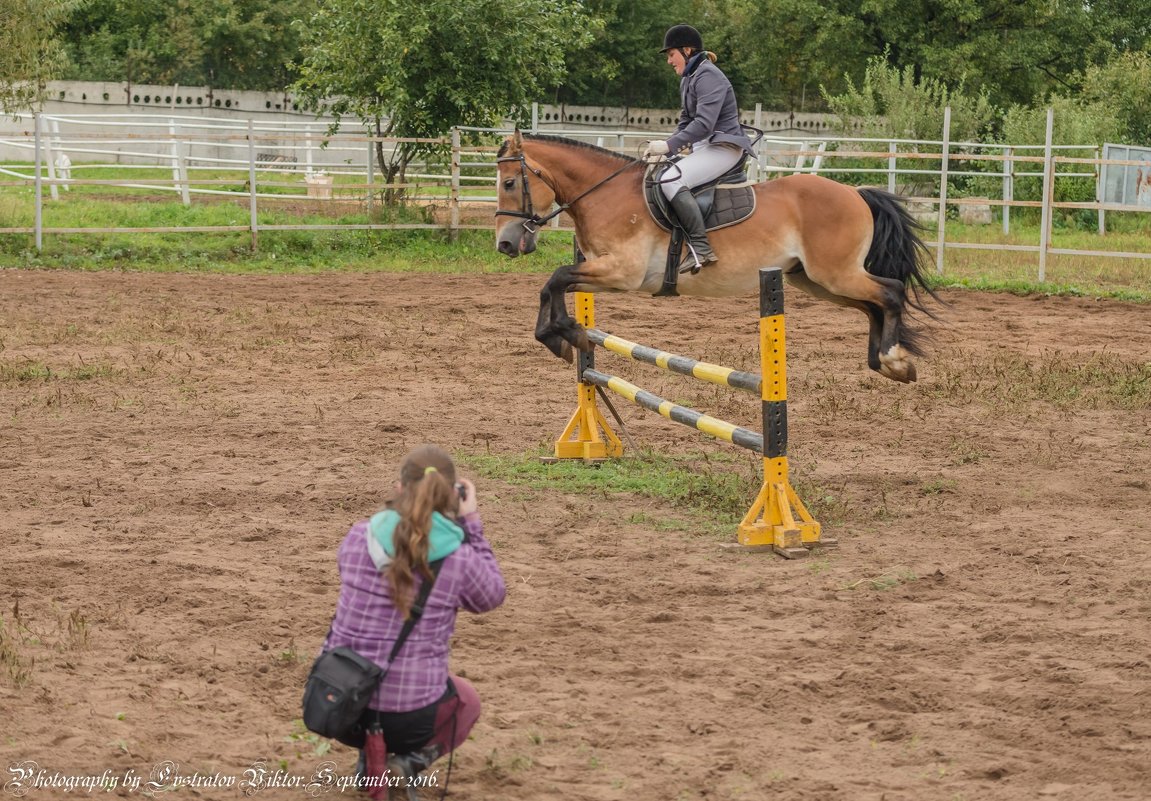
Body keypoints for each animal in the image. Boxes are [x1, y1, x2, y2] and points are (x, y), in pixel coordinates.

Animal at [492, 130, 934, 384]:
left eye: (510, 183)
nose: (506, 245)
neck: (606, 194)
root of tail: (855, 192)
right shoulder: (603, 273)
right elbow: (554, 284)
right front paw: (561, 337)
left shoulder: (621, 273)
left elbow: (557, 277)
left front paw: (567, 334)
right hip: (815, 280)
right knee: (873, 304)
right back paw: (886, 362)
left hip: (835, 275)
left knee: (890, 292)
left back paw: (894, 360)